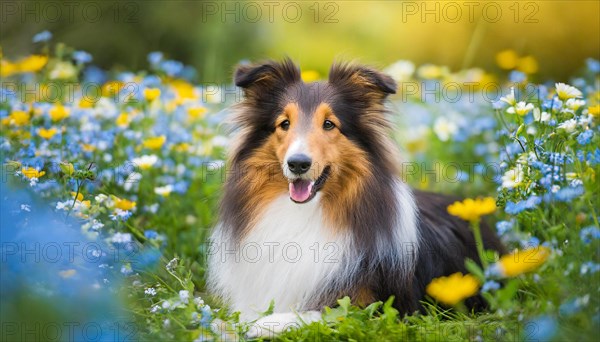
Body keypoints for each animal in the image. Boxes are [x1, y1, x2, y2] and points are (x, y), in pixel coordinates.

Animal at [207, 58, 506, 336]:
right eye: (285, 123)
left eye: (329, 124)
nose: (298, 163)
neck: (307, 213)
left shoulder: (385, 309)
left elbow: (324, 312)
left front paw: (268, 322)